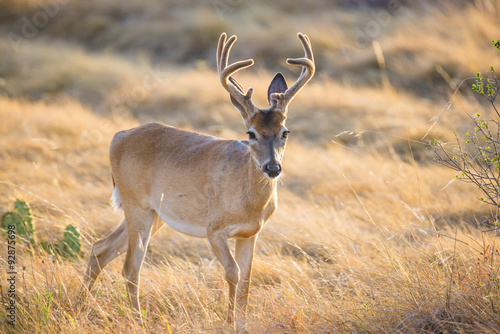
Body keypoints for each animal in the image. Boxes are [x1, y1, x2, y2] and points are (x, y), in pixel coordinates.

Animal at [80, 33, 314, 326]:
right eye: (250, 133)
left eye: (285, 132)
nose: (273, 167)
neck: (249, 201)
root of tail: (117, 137)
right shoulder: (214, 229)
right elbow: (233, 273)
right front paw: (228, 323)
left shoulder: (251, 232)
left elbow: (247, 281)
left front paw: (241, 323)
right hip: (136, 206)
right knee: (130, 267)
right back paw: (137, 320)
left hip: (155, 214)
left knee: (101, 248)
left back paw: (78, 305)